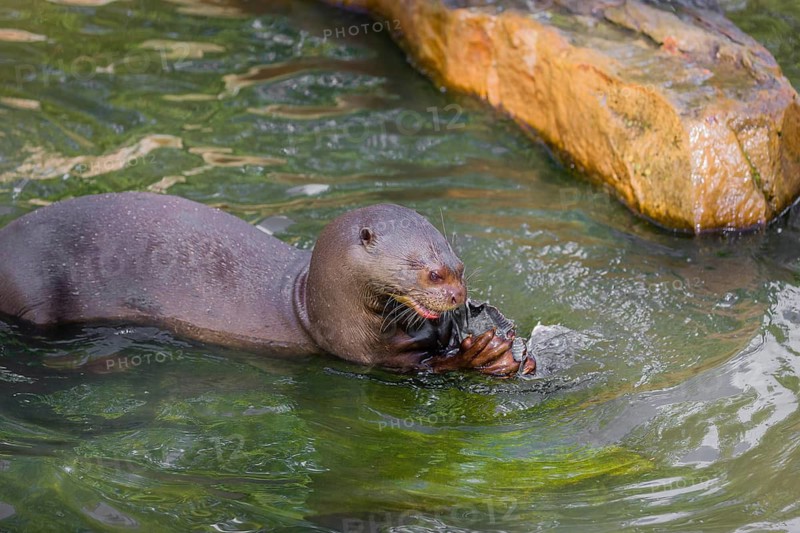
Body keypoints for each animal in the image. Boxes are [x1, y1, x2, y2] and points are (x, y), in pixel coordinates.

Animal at [0, 193, 534, 376]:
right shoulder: (355, 347)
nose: (457, 296)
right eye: (431, 273)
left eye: (460, 266)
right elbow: (414, 365)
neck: (309, 302)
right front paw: (481, 353)